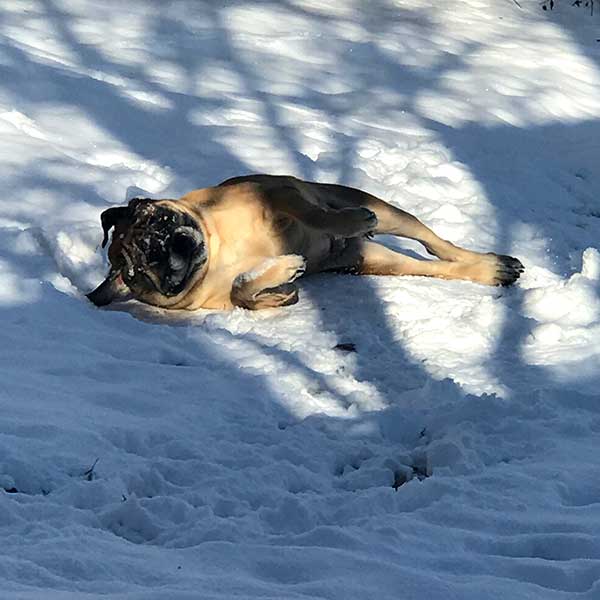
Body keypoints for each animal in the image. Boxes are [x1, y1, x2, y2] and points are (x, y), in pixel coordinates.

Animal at [86, 175, 524, 310]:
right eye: (144, 268)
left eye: (160, 220)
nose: (169, 247)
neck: (216, 250)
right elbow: (243, 290)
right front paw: (284, 282)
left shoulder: (275, 195)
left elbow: (313, 214)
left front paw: (345, 221)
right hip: (375, 259)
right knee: (433, 267)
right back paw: (492, 271)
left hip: (386, 211)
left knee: (434, 242)